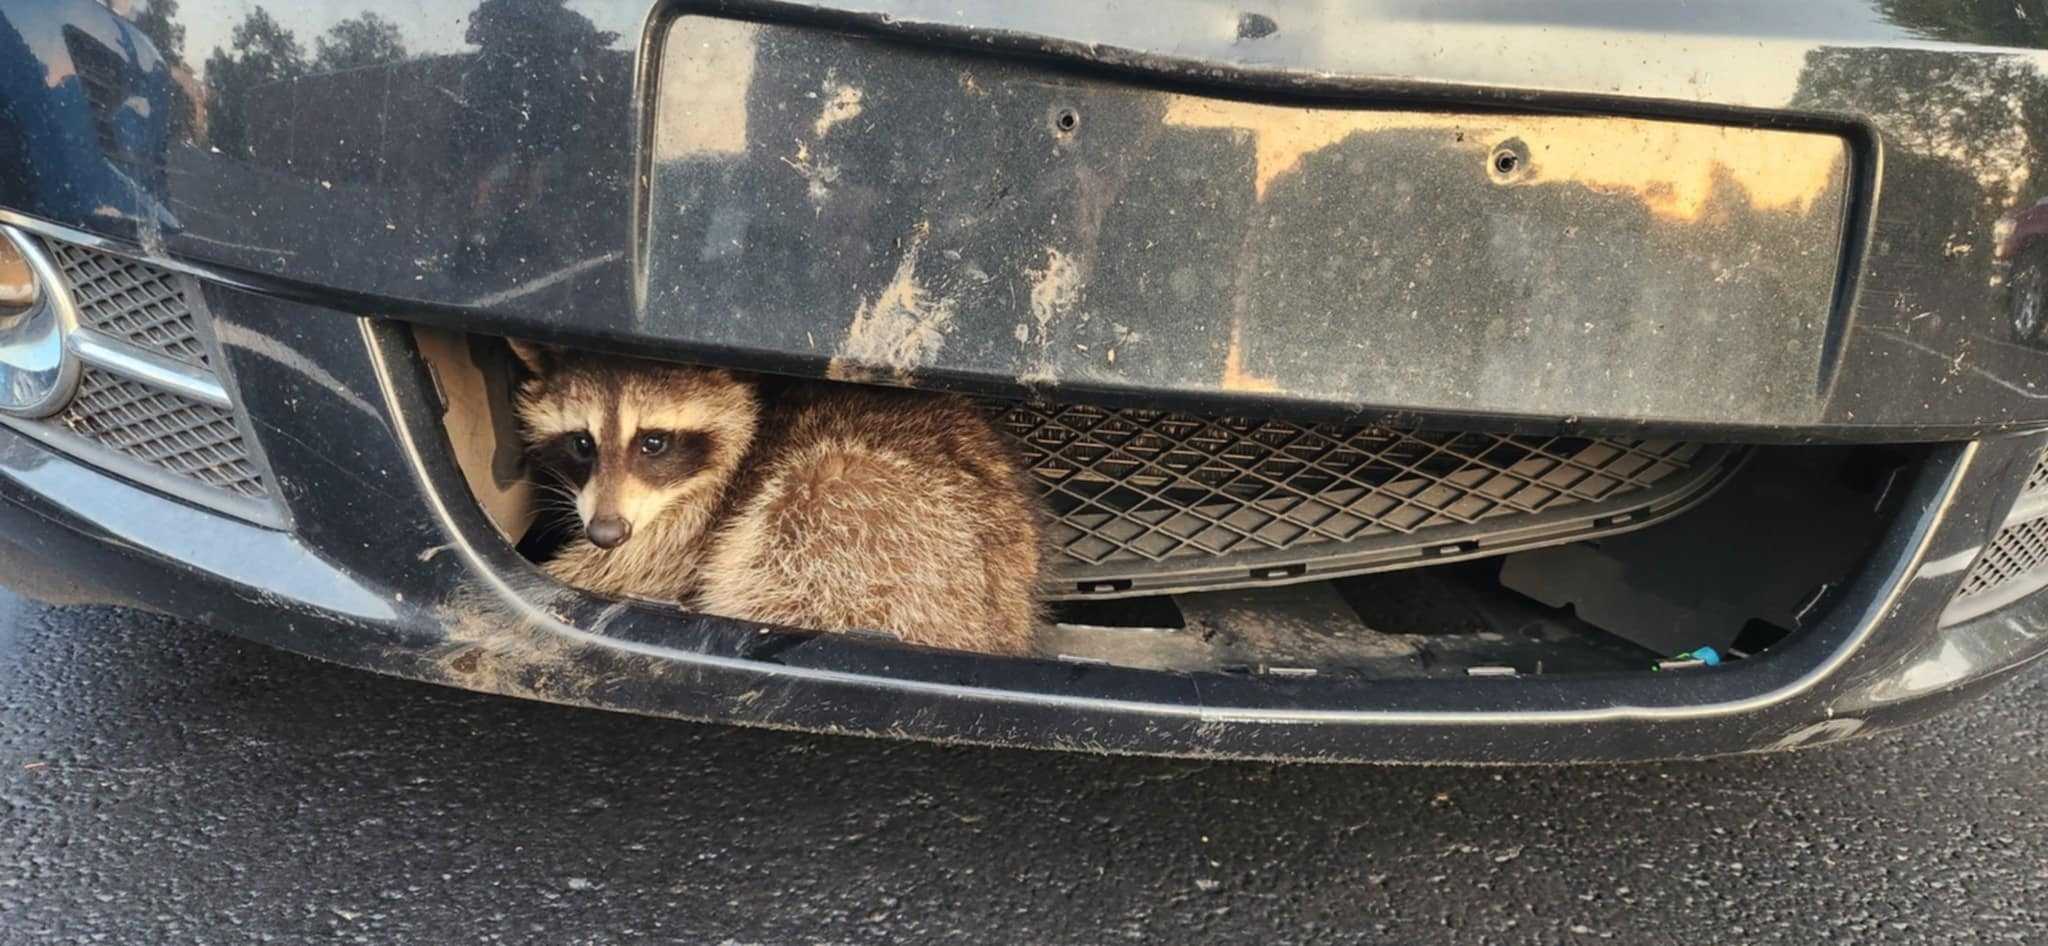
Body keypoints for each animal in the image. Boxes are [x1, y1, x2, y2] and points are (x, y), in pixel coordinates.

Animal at [509, 341, 1044, 656]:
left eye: (653, 442)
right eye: (581, 443)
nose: (605, 532)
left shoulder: (695, 520)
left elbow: (629, 569)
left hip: (869, 521)